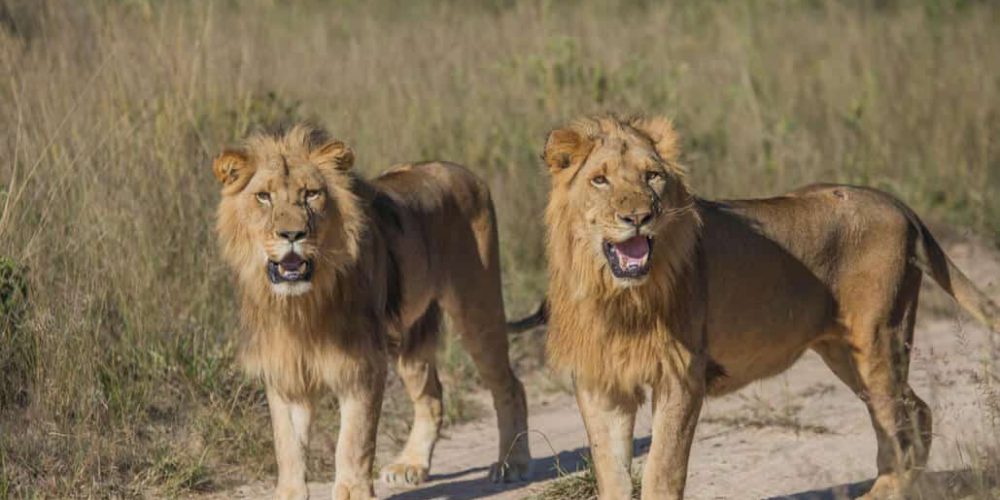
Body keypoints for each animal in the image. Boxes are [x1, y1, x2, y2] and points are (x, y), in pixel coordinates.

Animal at [212, 125, 532, 500]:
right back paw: (411, 464)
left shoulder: (362, 364)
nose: (292, 234)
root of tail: (463, 172)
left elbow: (354, 440)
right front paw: (289, 493)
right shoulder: (286, 367)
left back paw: (513, 463)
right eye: (263, 197)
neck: (301, 305)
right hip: (411, 338)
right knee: (432, 396)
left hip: (478, 307)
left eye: (311, 194)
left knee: (510, 386)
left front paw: (352, 490)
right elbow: (287, 445)